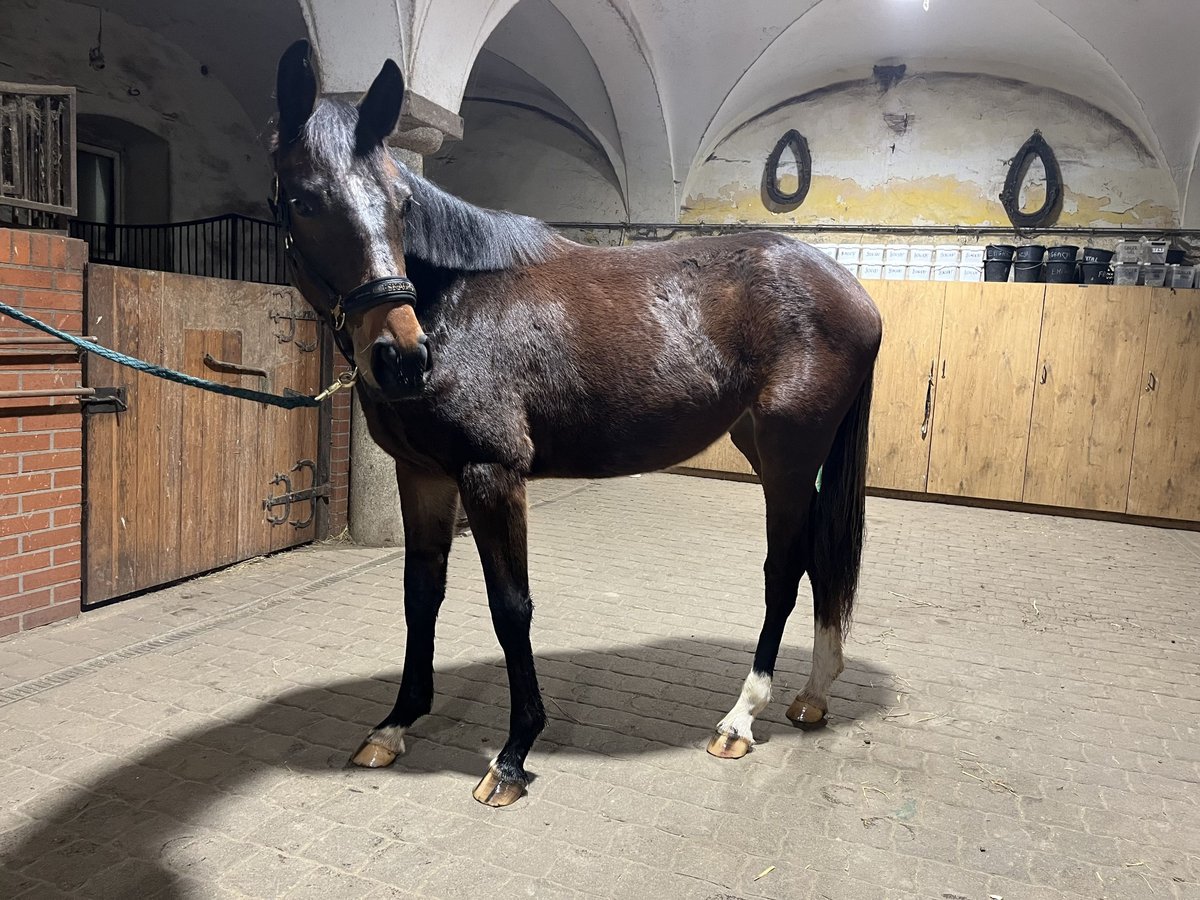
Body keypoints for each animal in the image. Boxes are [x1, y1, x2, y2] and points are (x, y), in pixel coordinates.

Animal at [276, 40, 888, 811]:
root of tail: (854, 292)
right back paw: (813, 693)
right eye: (303, 199)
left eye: (402, 203)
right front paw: (395, 723)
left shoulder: (492, 473)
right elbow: (421, 595)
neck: (459, 301)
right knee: (818, 561)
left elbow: (511, 608)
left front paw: (513, 755)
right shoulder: (421, 476)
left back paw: (741, 718)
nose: (401, 356)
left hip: (788, 451)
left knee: (786, 568)